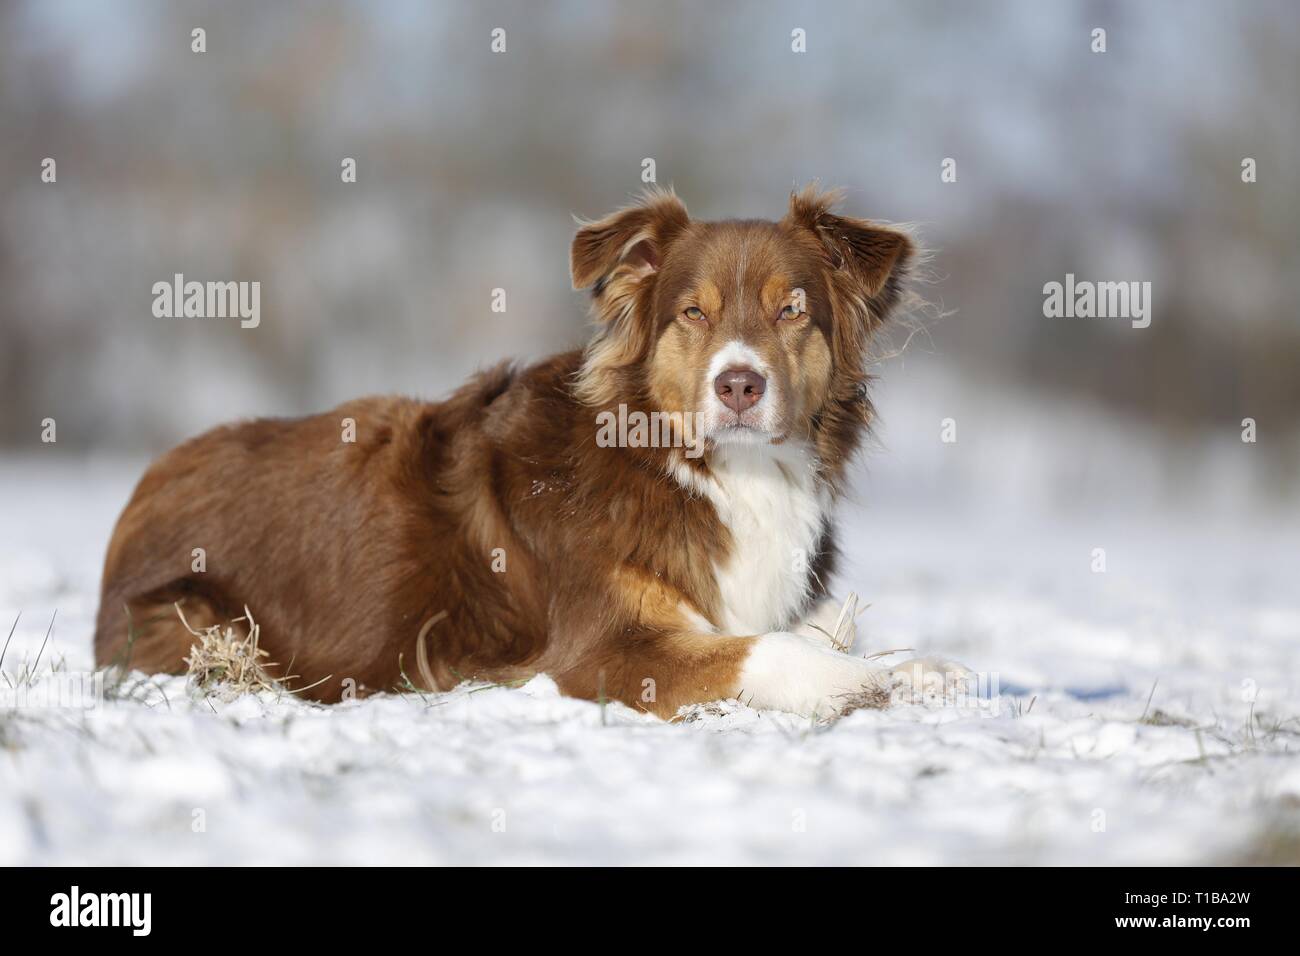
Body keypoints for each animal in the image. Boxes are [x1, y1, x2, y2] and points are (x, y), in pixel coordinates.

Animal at [94, 187, 967, 717]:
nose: (740, 386)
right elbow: (765, 649)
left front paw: (925, 668)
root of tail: (144, 486)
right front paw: (855, 678)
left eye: (793, 310)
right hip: (202, 619)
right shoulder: (602, 650)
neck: (703, 471)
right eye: (692, 313)